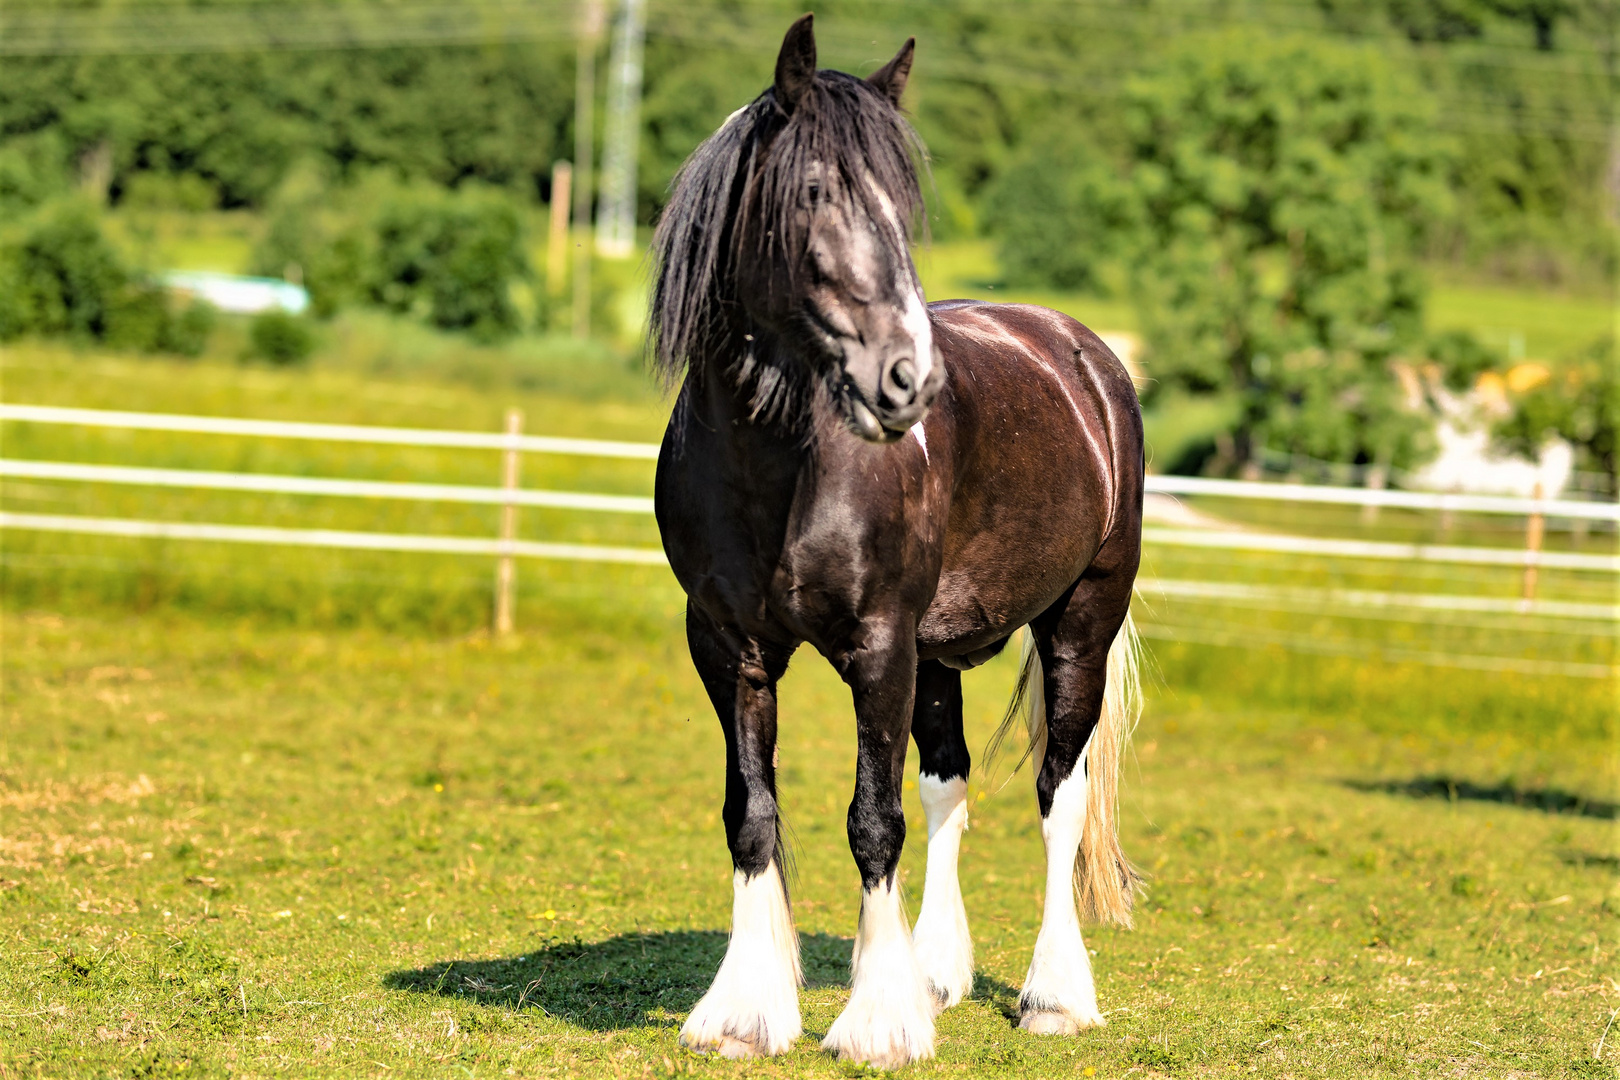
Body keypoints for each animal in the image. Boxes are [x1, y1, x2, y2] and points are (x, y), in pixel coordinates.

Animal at [651, 16, 1146, 1075]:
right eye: (811, 192)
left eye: (901, 206)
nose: (906, 378)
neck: (777, 470)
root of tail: (1082, 354)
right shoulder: (727, 647)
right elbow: (752, 814)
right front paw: (745, 1012)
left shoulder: (878, 645)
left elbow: (871, 822)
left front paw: (877, 1023)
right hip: (940, 650)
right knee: (948, 782)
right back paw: (937, 972)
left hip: (1079, 621)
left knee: (1059, 792)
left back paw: (1053, 996)